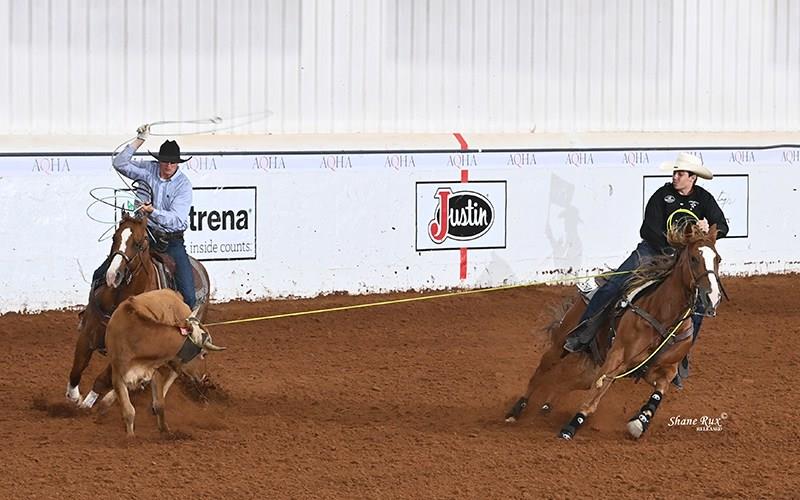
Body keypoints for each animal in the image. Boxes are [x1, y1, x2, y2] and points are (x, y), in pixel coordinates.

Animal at [66, 213, 209, 408]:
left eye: (139, 243)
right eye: (115, 237)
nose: (113, 276)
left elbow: (103, 379)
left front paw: (91, 403)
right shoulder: (88, 334)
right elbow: (77, 368)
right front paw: (76, 397)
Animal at [506, 225, 724, 440]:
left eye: (718, 259)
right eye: (694, 258)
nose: (712, 297)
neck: (664, 318)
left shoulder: (663, 370)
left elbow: (659, 392)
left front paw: (641, 421)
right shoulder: (617, 358)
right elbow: (597, 393)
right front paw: (571, 426)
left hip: (594, 364)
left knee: (570, 383)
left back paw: (547, 404)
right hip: (562, 343)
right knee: (542, 370)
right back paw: (516, 411)